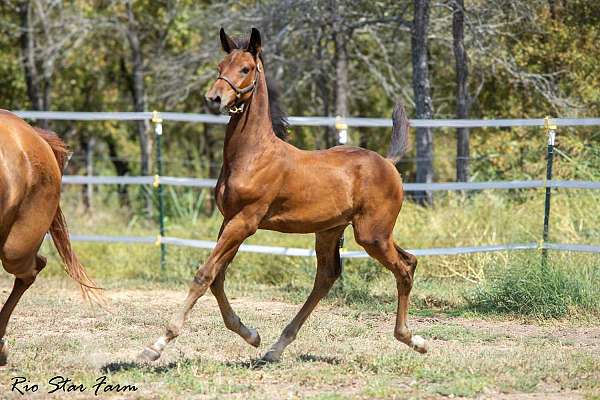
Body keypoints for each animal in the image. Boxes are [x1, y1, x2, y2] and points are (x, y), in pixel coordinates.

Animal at [141, 26, 426, 360]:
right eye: (220, 66)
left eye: (246, 69)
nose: (214, 98)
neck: (252, 155)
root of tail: (388, 163)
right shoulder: (229, 220)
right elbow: (217, 278)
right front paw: (251, 335)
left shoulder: (245, 222)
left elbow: (204, 275)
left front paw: (156, 345)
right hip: (332, 231)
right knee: (331, 275)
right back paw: (276, 347)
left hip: (372, 234)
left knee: (403, 267)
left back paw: (411, 338)